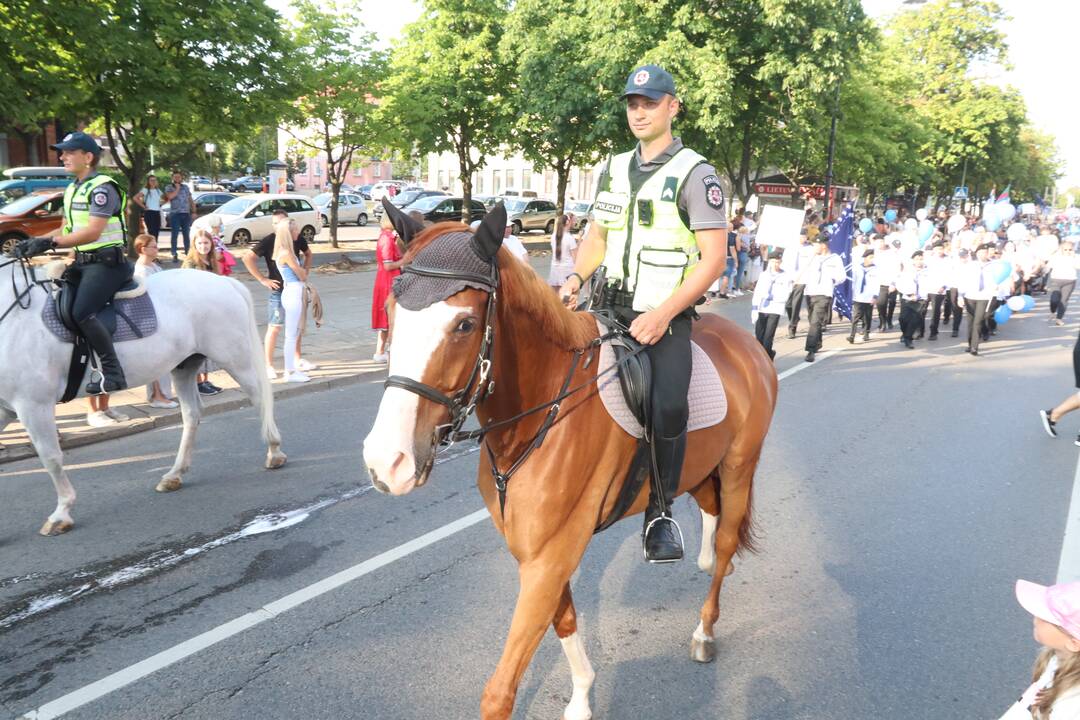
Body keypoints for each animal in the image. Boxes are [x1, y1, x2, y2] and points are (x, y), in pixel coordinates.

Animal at [0, 257, 285, 535]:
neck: (12, 319)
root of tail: (225, 281)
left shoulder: (33, 405)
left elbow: (50, 457)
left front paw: (61, 514)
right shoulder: (7, 409)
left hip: (235, 359)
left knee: (260, 398)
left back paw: (274, 452)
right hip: (184, 366)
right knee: (192, 414)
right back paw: (174, 475)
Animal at [362, 202, 777, 720]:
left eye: (464, 325)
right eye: (392, 312)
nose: (387, 462)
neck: (539, 415)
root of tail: (748, 345)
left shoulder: (550, 555)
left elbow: (500, 691)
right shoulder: (534, 551)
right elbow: (564, 621)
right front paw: (581, 696)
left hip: (740, 467)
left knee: (725, 543)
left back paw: (705, 627)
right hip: (701, 469)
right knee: (713, 513)